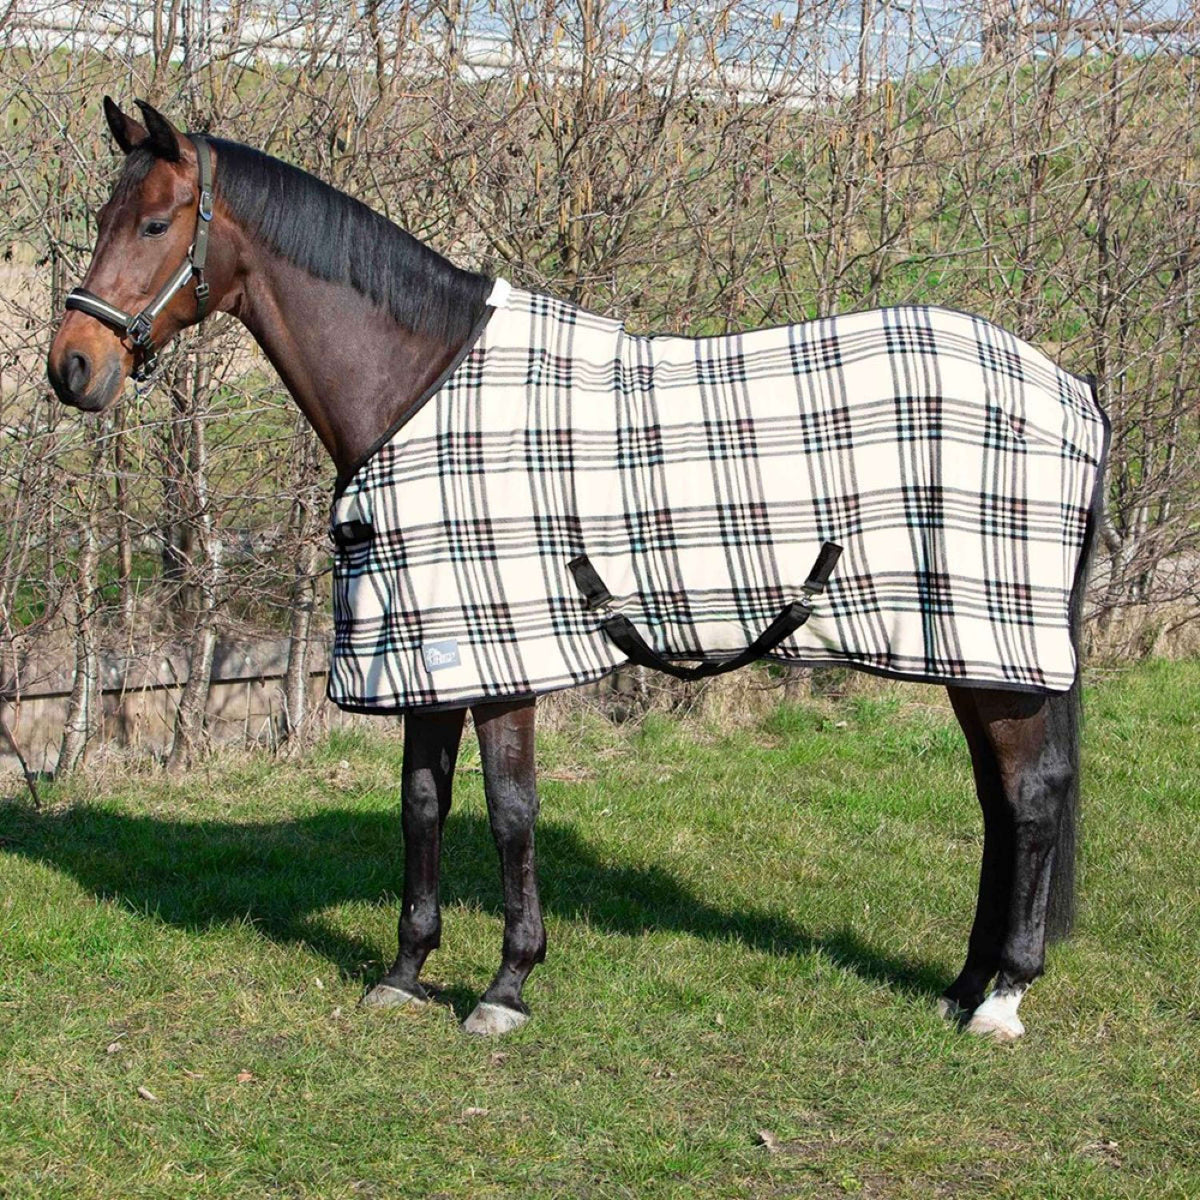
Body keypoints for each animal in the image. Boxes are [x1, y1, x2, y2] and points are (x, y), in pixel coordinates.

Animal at [47, 99, 1106, 1040]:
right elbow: (421, 806)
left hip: (997, 654)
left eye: (154, 222)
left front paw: (506, 986)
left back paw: (1003, 997)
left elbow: (509, 812)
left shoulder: (501, 657)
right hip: (971, 656)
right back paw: (961, 987)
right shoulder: (426, 652)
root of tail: (1075, 392)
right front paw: (404, 972)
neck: (417, 386)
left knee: (1031, 801)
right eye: (102, 218)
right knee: (999, 802)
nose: (72, 367)